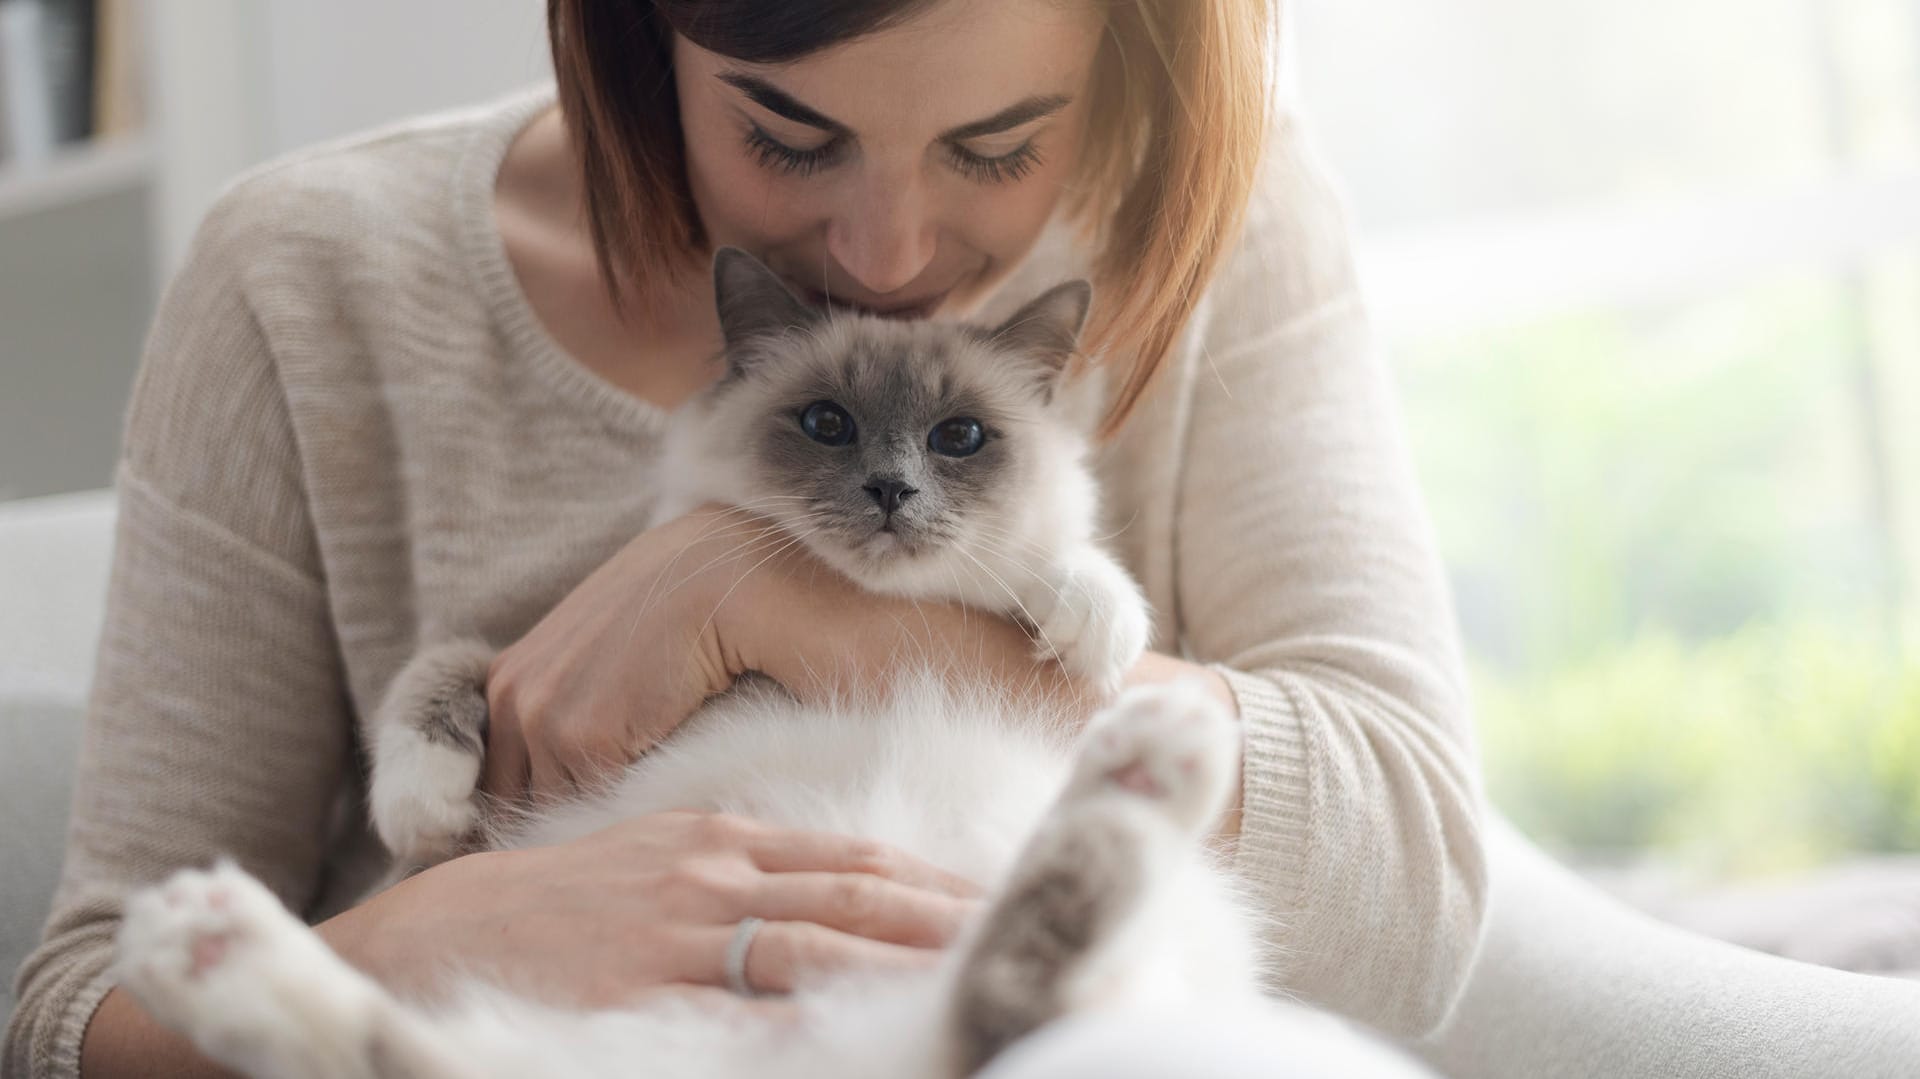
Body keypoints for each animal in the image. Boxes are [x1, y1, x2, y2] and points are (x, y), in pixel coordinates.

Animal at [108, 247, 1428, 1067]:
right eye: (827, 425)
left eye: (961, 437)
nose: (892, 491)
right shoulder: (517, 662)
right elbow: (439, 672)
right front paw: (423, 800)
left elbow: (1082, 577)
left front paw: (1090, 624)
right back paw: (206, 946)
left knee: (1009, 996)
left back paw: (1155, 757)